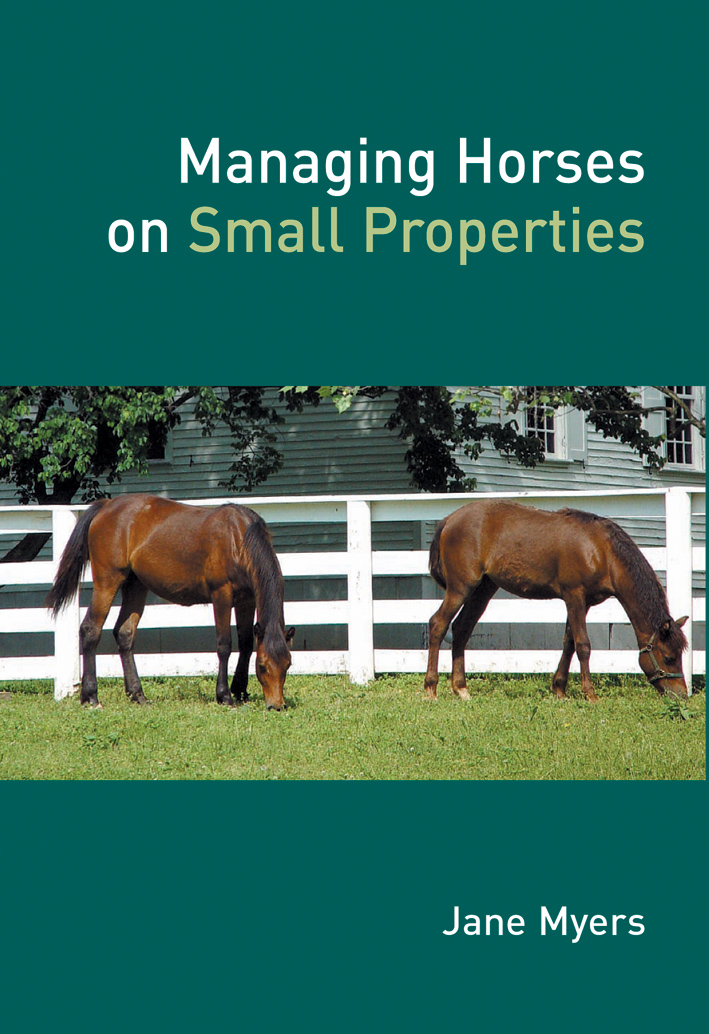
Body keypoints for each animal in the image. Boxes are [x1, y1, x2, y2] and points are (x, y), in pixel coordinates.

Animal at [45, 494, 293, 707]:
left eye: (288, 665)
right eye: (263, 666)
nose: (276, 705)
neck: (238, 538)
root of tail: (107, 506)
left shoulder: (246, 600)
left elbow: (246, 644)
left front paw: (240, 690)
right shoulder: (221, 596)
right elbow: (224, 645)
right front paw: (224, 695)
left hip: (136, 586)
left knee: (125, 634)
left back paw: (137, 694)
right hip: (108, 582)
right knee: (90, 630)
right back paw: (91, 696)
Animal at [425, 500, 690, 703]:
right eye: (669, 657)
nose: (682, 695)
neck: (601, 550)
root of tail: (449, 519)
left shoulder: (583, 603)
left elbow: (569, 642)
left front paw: (559, 689)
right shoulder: (574, 596)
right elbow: (583, 645)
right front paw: (590, 694)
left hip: (483, 590)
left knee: (461, 628)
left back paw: (461, 688)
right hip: (460, 588)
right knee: (438, 624)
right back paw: (431, 688)